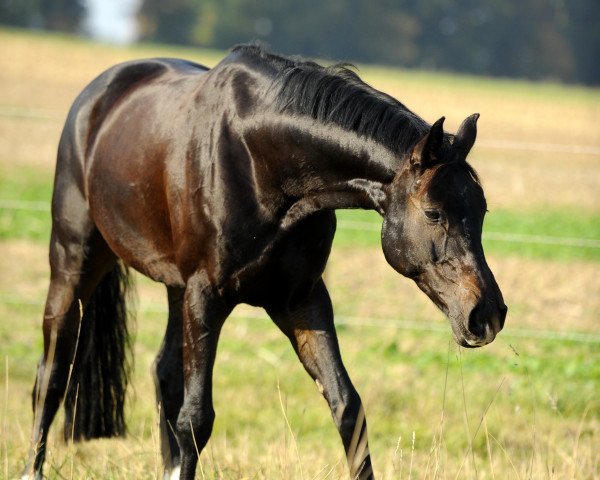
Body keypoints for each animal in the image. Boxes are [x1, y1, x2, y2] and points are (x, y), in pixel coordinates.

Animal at [22, 45, 506, 480]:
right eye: (434, 213)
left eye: (482, 210)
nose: (488, 315)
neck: (262, 163)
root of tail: (99, 95)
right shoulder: (207, 295)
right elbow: (196, 420)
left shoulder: (301, 301)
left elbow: (348, 408)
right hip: (75, 261)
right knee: (52, 373)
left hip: (176, 287)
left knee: (164, 373)